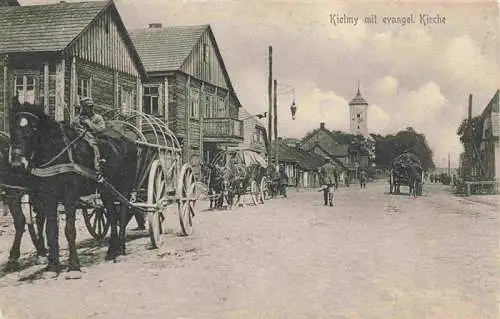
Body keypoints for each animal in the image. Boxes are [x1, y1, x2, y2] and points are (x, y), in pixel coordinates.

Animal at [9, 100, 139, 278]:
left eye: (34, 128)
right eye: (12, 127)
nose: (16, 165)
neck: (57, 153)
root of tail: (128, 141)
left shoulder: (70, 195)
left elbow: (69, 229)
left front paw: (73, 267)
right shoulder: (48, 197)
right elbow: (51, 230)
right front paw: (52, 267)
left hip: (124, 186)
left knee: (124, 213)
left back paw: (120, 251)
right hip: (106, 191)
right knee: (112, 216)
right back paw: (112, 251)